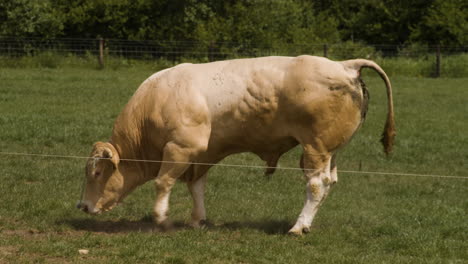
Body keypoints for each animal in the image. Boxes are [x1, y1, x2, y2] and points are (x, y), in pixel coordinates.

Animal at [77, 55, 394, 235]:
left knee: (316, 185)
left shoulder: (180, 148)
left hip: (314, 147)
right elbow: (196, 186)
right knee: (329, 183)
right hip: (330, 151)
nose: (83, 206)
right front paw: (197, 220)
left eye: (97, 173)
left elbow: (163, 182)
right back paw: (306, 224)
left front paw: (162, 219)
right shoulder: (202, 154)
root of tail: (344, 65)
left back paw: (297, 227)